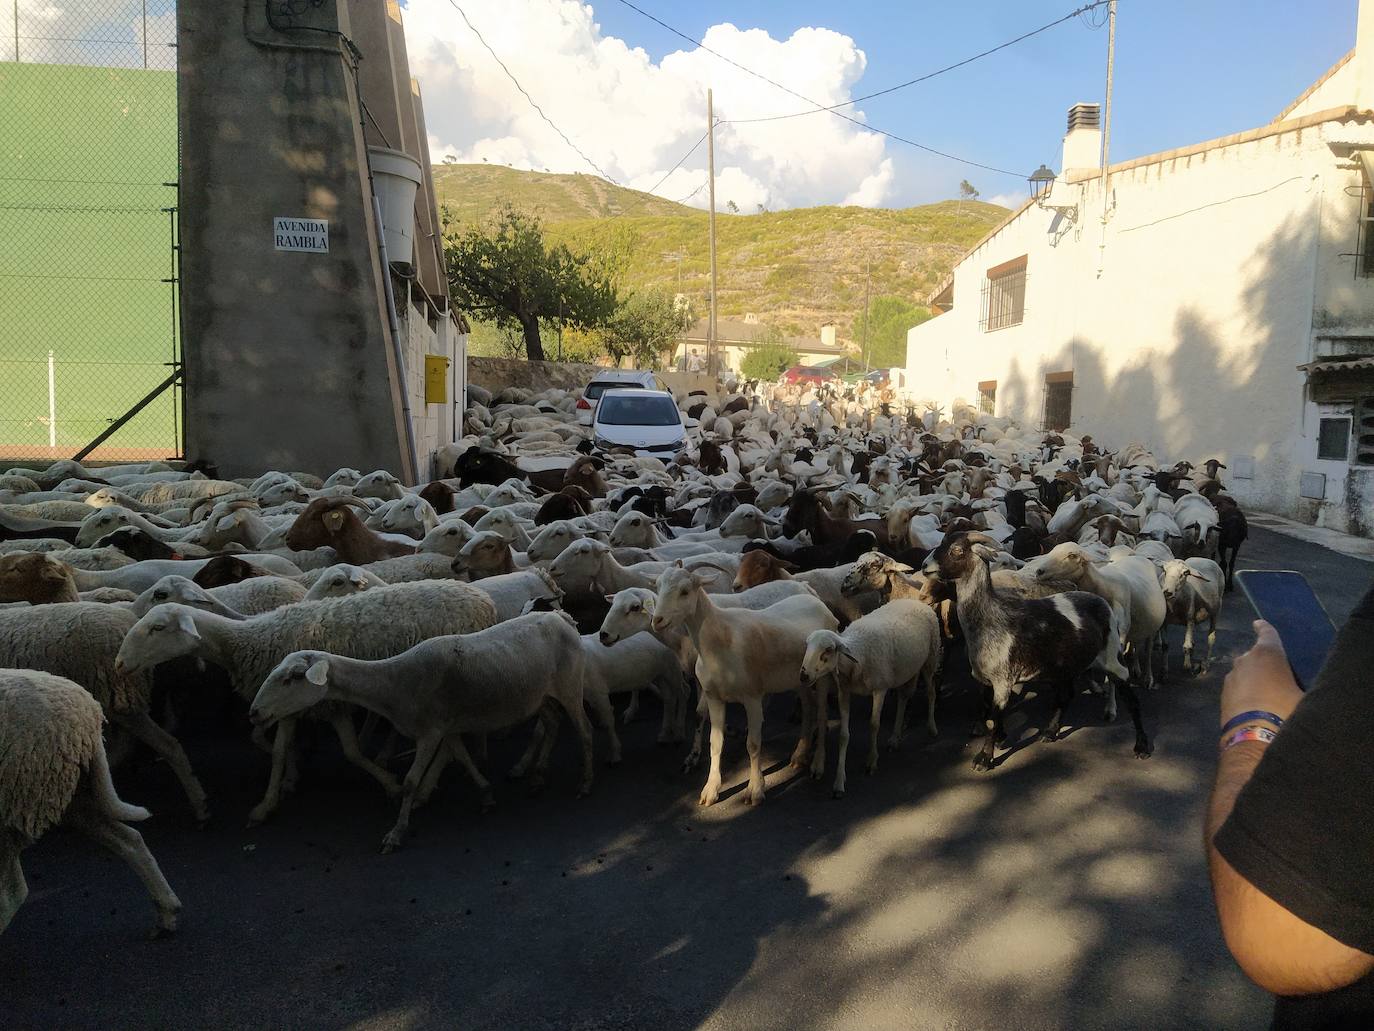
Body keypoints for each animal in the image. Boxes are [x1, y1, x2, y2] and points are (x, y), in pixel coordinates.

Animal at [0, 665, 182, 940]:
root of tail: (89, 710)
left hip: (19, 800)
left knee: (14, 892)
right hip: (64, 790)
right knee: (129, 840)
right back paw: (166, 911)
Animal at [250, 613, 593, 857]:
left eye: (293, 677)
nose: (254, 712)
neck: (394, 685)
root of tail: (561, 618)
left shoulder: (429, 732)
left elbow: (412, 782)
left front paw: (396, 834)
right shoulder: (446, 726)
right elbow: (462, 757)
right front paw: (485, 794)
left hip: (570, 686)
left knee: (585, 730)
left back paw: (584, 784)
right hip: (541, 695)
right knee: (552, 723)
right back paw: (537, 777)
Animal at [923, 533, 1148, 769]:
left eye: (957, 550)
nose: (924, 566)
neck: (989, 618)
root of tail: (1099, 601)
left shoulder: (1003, 680)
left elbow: (994, 717)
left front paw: (984, 758)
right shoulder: (984, 679)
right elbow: (988, 712)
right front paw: (1000, 737)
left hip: (1111, 655)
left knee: (1131, 699)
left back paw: (1141, 746)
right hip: (1066, 664)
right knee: (1067, 695)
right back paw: (1050, 731)